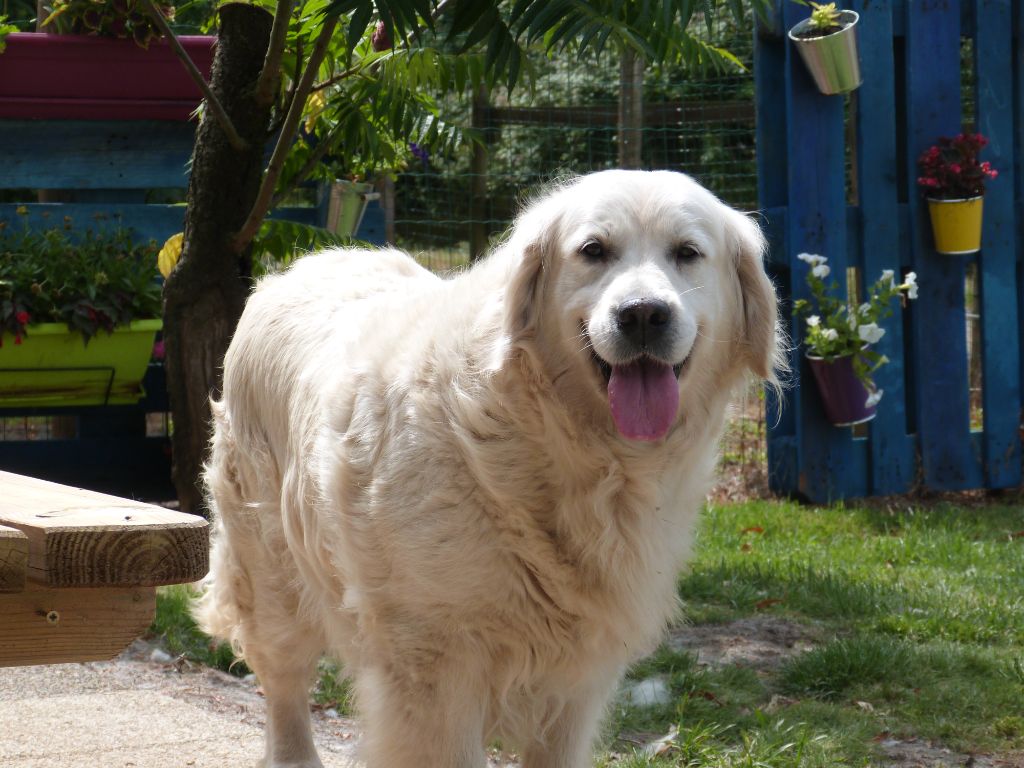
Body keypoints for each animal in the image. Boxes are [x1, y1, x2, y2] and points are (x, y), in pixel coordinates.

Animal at [195, 169, 778, 768]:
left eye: (687, 253)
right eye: (594, 251)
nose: (643, 313)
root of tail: (297, 267)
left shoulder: (577, 680)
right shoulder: (436, 664)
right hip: (271, 566)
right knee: (285, 680)